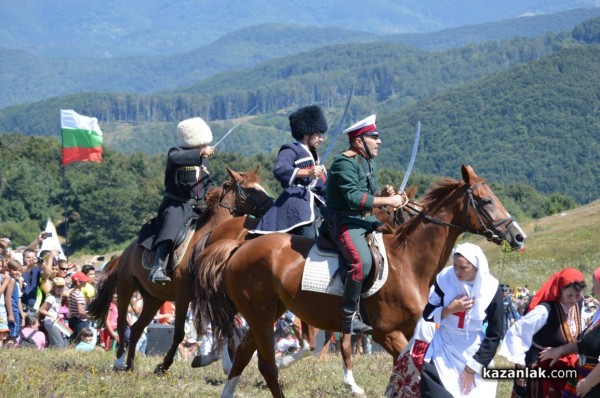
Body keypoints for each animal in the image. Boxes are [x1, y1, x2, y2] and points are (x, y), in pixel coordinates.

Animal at [88, 166, 274, 372]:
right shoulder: (183, 295)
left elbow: (221, 327)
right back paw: (120, 361)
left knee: (136, 328)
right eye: (250, 189)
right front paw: (164, 365)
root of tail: (125, 253)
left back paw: (129, 364)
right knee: (122, 324)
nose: (272, 203)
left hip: (152, 299)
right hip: (125, 288)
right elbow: (179, 333)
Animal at [191, 165, 524, 394]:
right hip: (260, 314)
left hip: (267, 311)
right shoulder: (386, 334)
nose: (518, 236)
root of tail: (240, 246)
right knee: (263, 362)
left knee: (244, 352)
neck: (408, 261)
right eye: (485, 201)